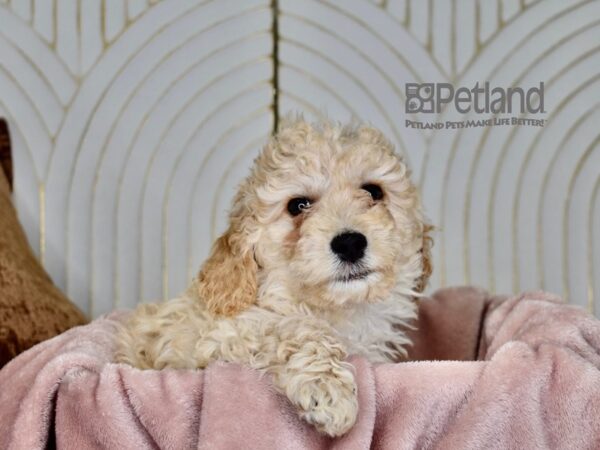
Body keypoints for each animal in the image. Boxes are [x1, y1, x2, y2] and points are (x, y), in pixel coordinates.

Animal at [113, 118, 432, 438]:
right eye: (298, 205)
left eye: (374, 192)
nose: (350, 244)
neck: (336, 310)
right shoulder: (213, 341)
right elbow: (292, 328)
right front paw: (329, 391)